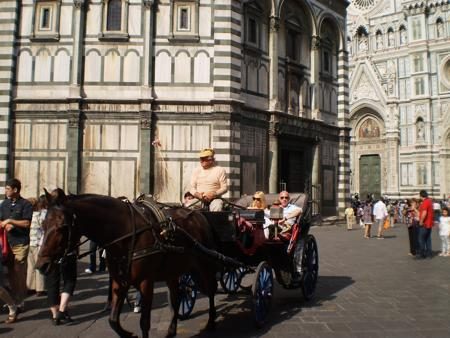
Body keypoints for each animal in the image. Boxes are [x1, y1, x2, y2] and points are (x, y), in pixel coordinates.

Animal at [36, 189, 219, 336]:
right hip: (173, 270)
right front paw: (129, 334)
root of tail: (198, 213)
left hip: (206, 264)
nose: (41, 265)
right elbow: (113, 320)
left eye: (63, 226)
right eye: (43, 224)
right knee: (176, 296)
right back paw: (171, 331)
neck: (124, 233)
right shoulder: (119, 282)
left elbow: (144, 323)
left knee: (211, 290)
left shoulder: (146, 282)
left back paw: (211, 323)